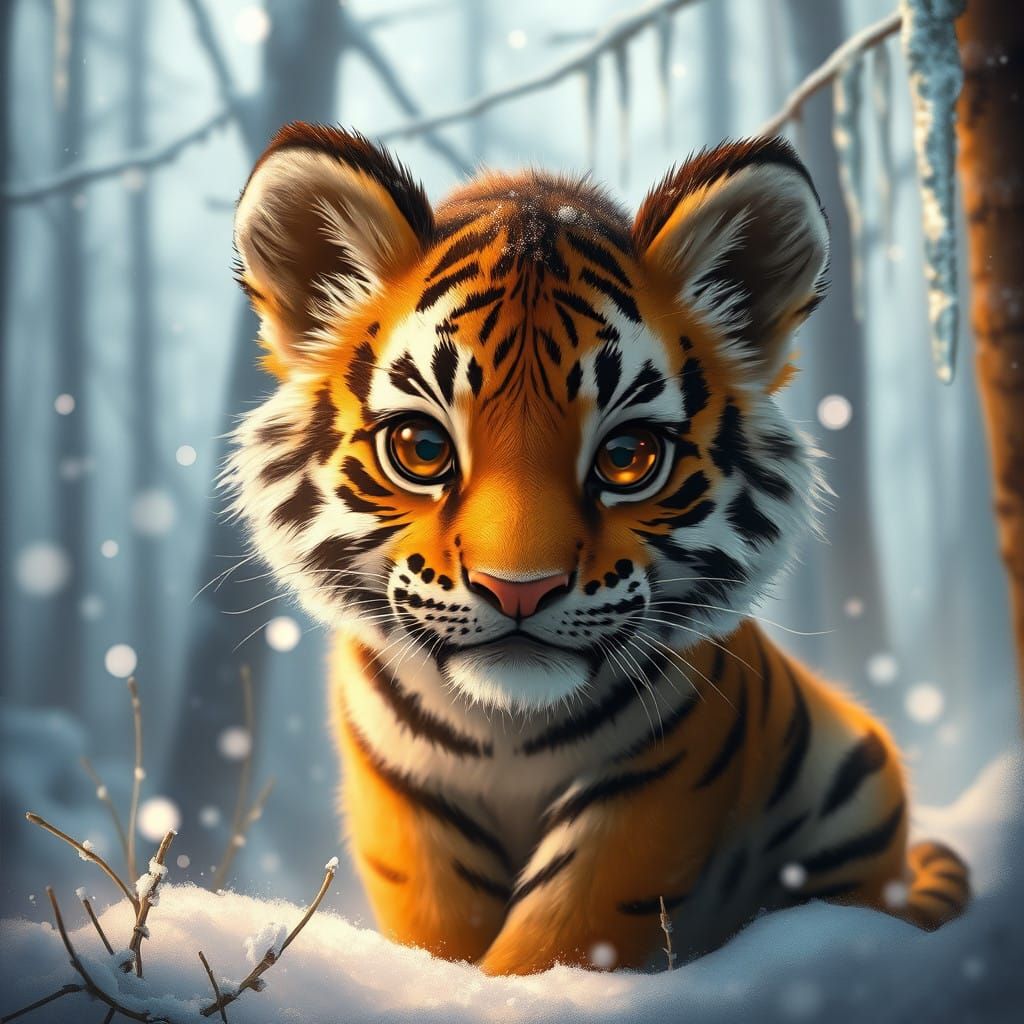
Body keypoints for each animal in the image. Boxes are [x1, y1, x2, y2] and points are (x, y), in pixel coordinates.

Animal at [226, 123, 969, 975]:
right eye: (422, 447)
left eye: (628, 457)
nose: (518, 589)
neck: (505, 730)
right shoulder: (409, 801)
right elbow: (441, 929)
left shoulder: (649, 790)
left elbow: (563, 935)